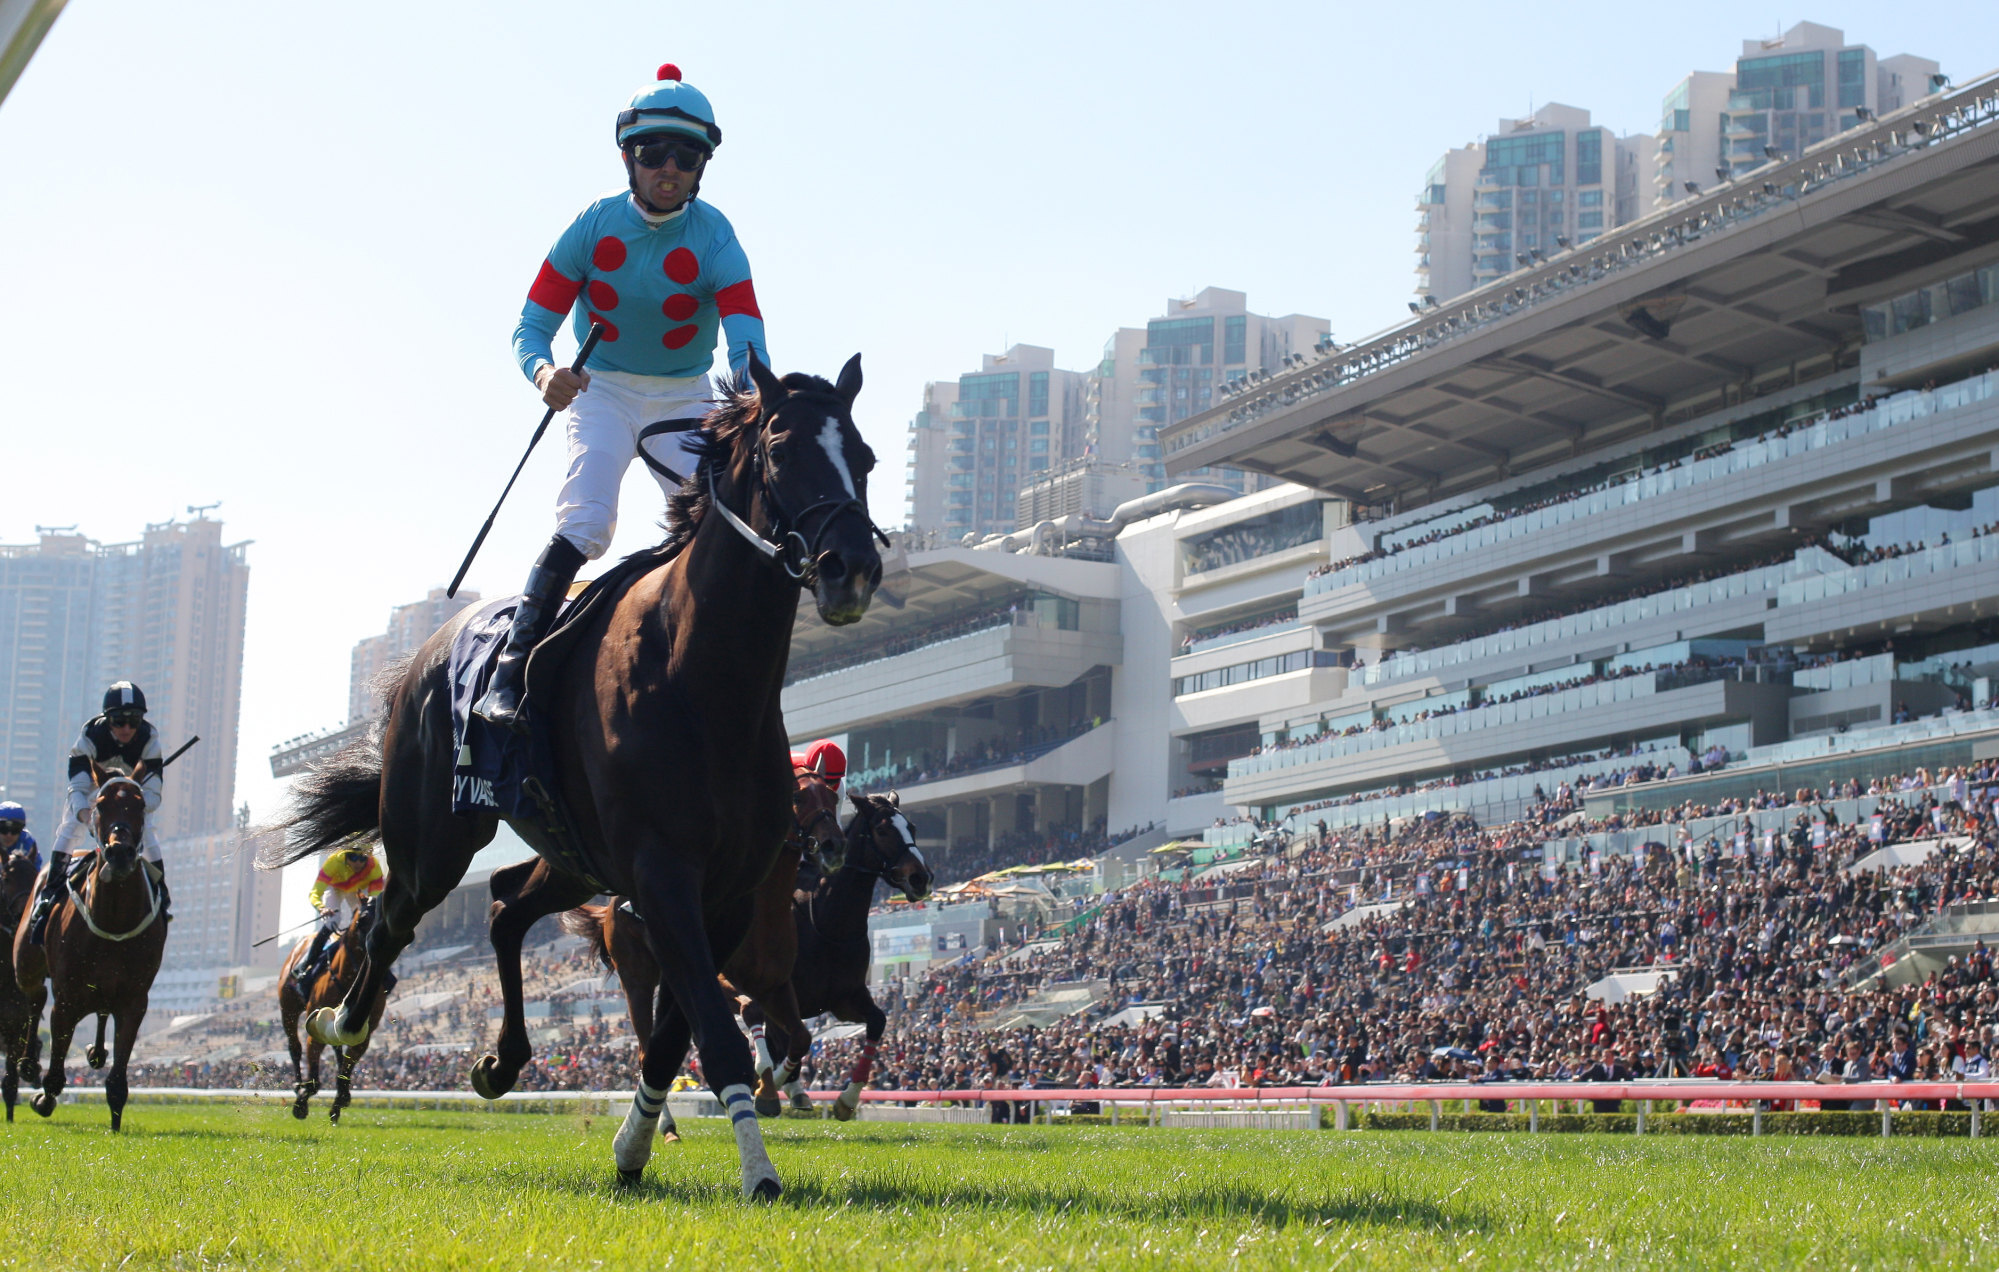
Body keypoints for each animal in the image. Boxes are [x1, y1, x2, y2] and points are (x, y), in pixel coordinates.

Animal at [11, 780, 167, 1128]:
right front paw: (42, 1098)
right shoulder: (66, 998)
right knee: (35, 998)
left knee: (101, 1010)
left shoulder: (135, 1000)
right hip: (26, 965)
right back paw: (28, 1063)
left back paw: (96, 1052)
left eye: (139, 806)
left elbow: (119, 1077)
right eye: (100, 805)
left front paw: (116, 1121)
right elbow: (55, 1069)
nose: (119, 853)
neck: (113, 920)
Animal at [279, 904, 391, 1120]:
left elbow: (346, 1068)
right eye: (362, 919)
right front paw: (301, 1103)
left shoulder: (363, 1033)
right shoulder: (314, 1027)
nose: (377, 948)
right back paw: (297, 1085)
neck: (349, 978)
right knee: (294, 1046)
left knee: (336, 1047)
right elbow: (314, 1080)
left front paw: (340, 1100)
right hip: (287, 1007)